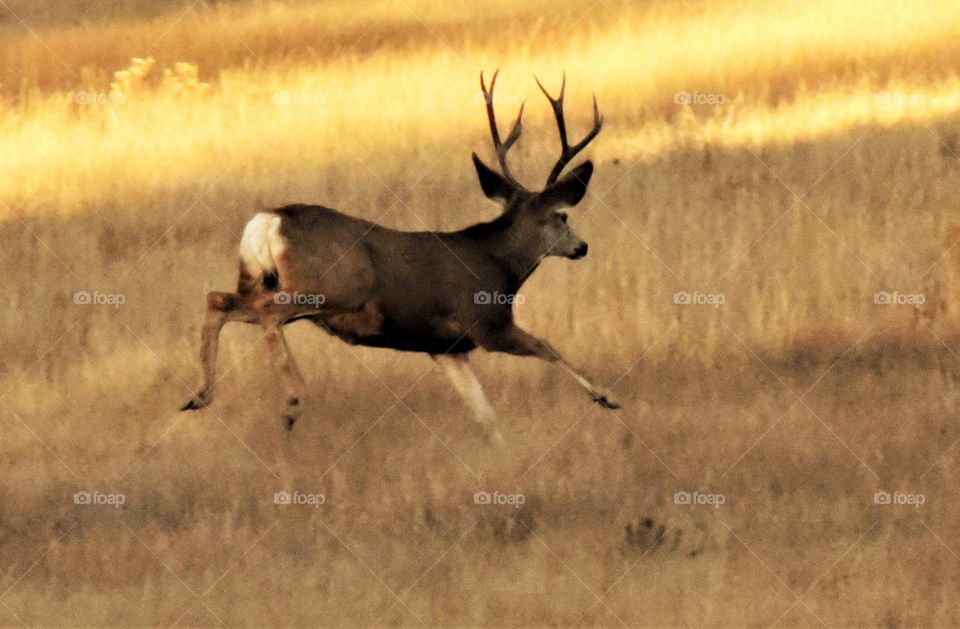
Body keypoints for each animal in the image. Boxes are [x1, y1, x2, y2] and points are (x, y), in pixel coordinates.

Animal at [180, 70, 620, 440]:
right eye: (562, 216)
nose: (582, 247)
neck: (499, 264)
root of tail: (269, 220)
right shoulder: (487, 324)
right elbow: (547, 347)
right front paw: (605, 397)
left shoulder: (447, 348)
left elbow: (485, 415)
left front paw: (500, 447)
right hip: (329, 289)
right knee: (266, 314)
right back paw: (291, 403)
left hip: (263, 281)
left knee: (219, 300)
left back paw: (200, 395)